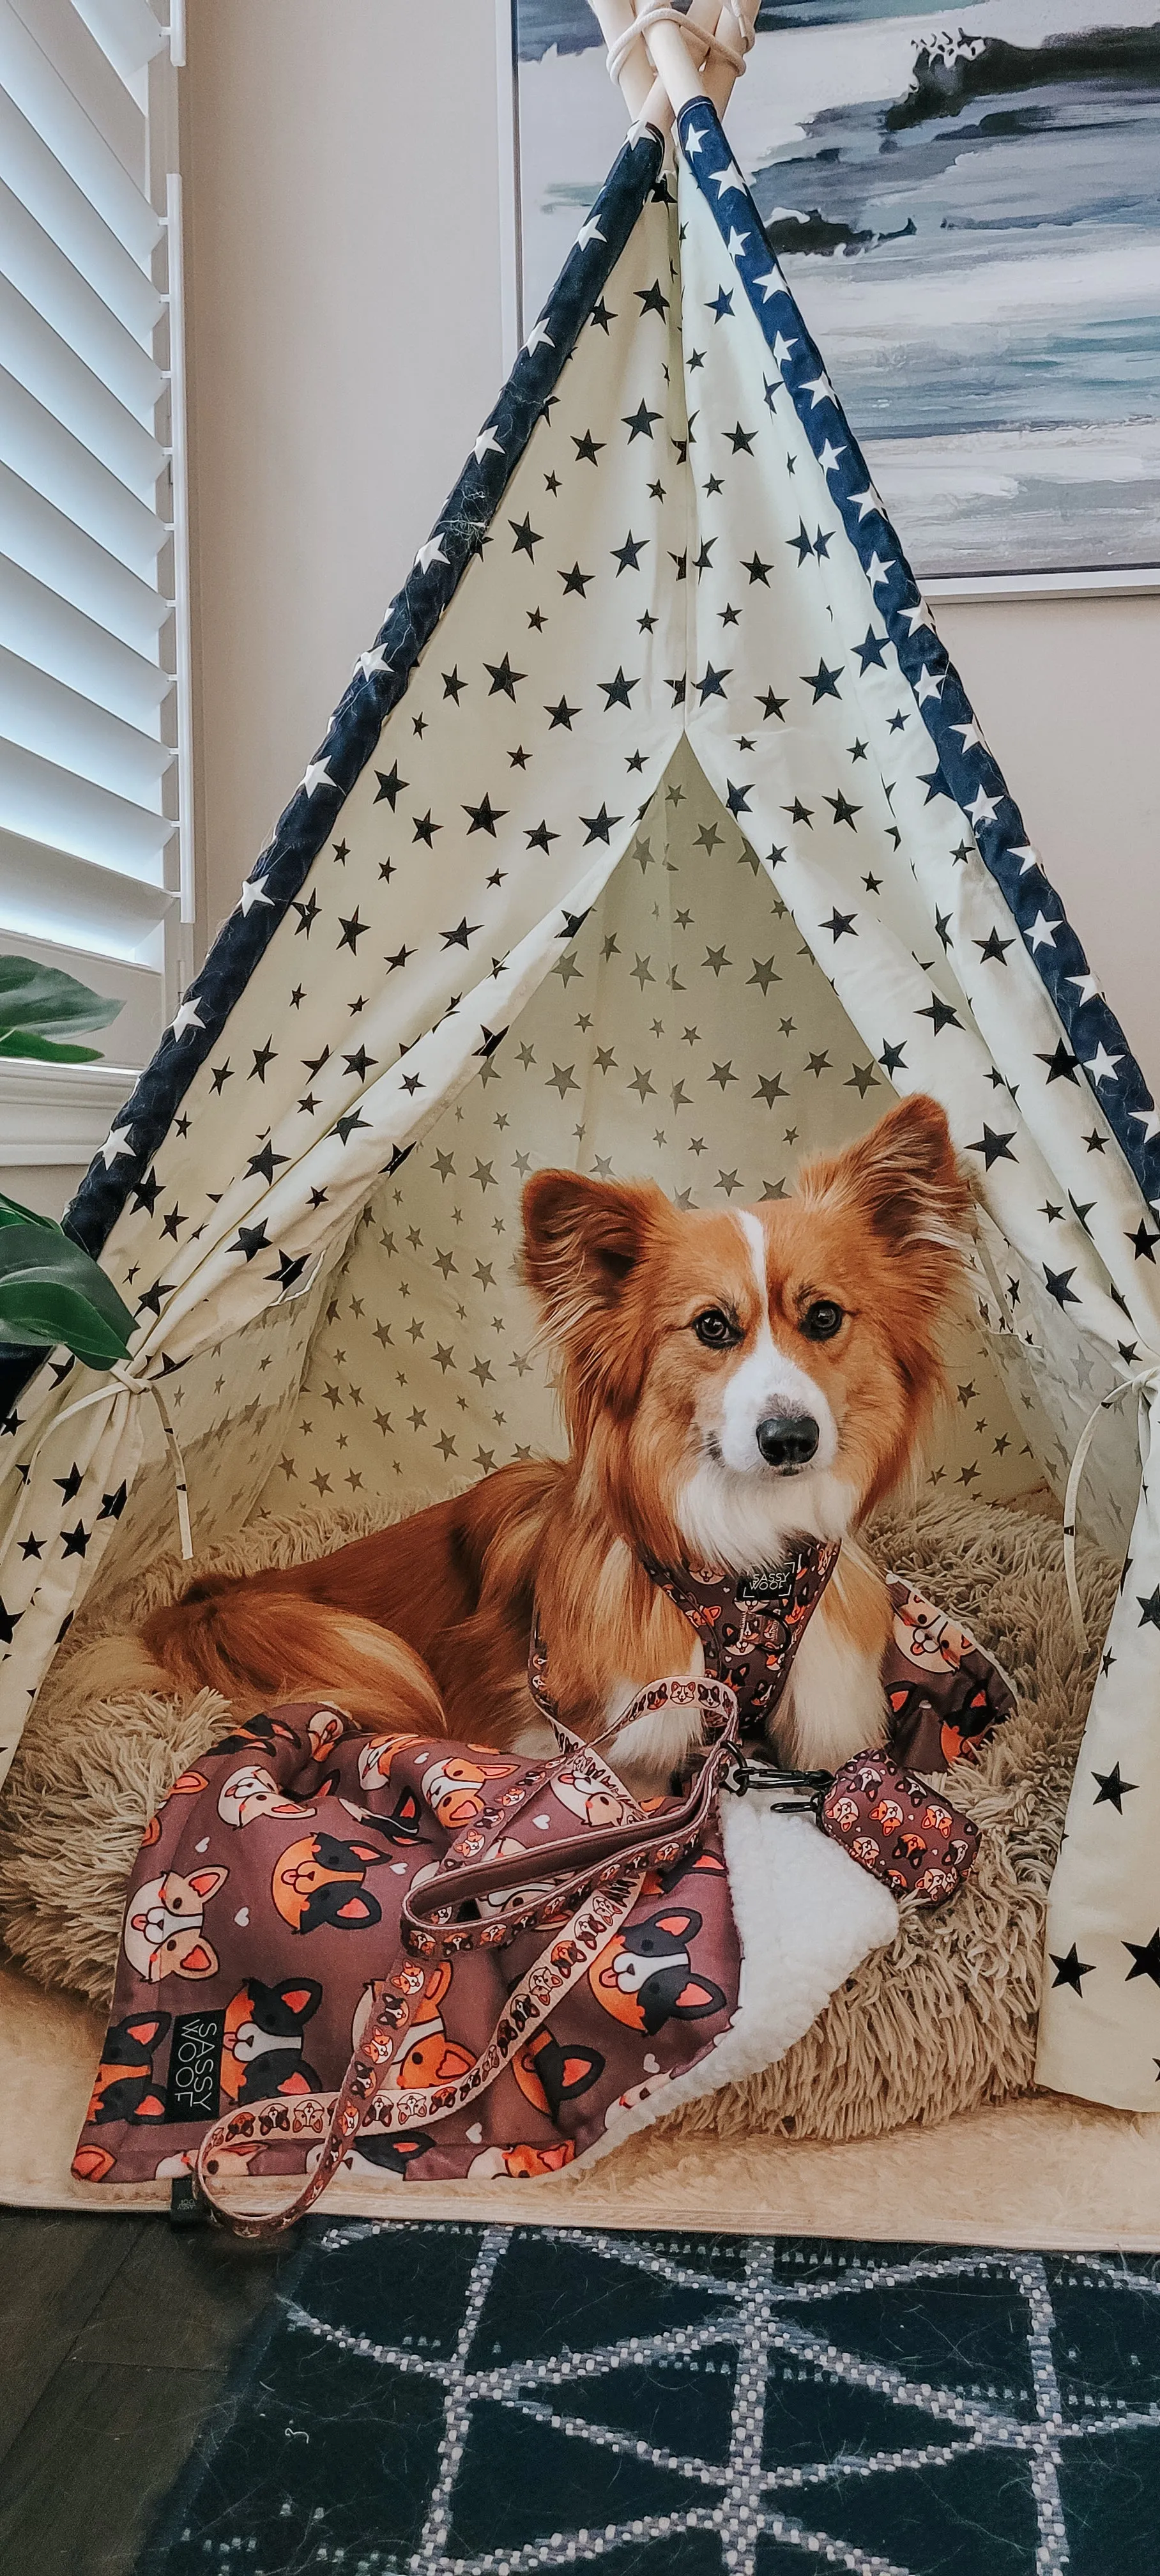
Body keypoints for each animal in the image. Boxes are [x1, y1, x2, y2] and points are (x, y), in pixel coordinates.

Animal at [135, 1092, 969, 1793]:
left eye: (824, 1317)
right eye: (712, 1327)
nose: (790, 1439)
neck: (746, 1574)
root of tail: (228, 1592)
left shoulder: (830, 1717)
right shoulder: (601, 1741)